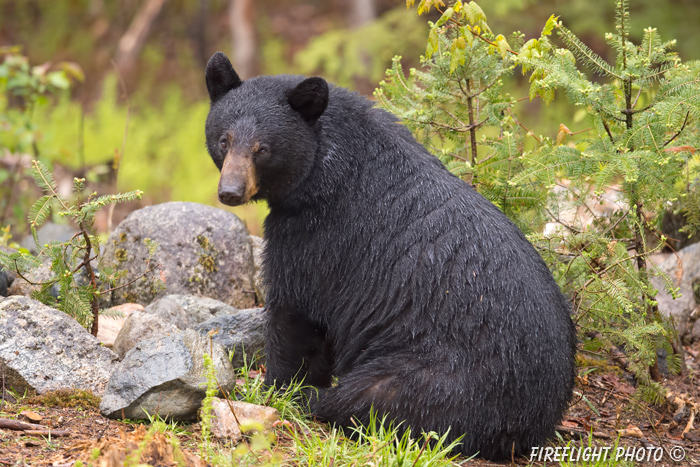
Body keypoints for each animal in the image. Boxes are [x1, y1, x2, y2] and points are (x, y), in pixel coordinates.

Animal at [202, 51, 576, 460]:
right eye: (224, 140)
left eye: (263, 149)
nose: (230, 191)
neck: (325, 165)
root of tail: (526, 426)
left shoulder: (318, 236)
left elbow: (296, 310)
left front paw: (276, 386)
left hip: (435, 376)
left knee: (368, 397)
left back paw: (315, 398)